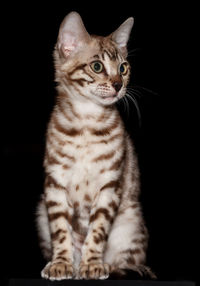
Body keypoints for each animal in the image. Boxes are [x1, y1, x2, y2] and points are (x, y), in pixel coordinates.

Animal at [36, 10, 155, 280]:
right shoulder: (55, 183)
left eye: (123, 67)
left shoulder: (110, 185)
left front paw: (92, 264)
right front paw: (61, 263)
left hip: (131, 221)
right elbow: (61, 230)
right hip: (40, 213)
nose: (118, 85)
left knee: (129, 260)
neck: (86, 124)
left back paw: (111, 266)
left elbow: (98, 230)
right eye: (97, 66)